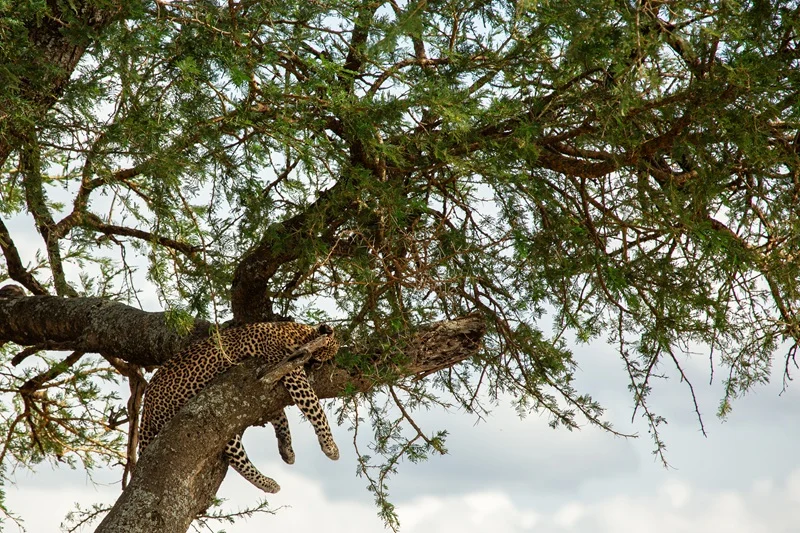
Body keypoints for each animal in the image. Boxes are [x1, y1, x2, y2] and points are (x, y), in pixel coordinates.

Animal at [139, 322, 340, 493]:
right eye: (321, 357)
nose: (316, 365)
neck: (295, 332)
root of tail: (146, 408)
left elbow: (280, 416)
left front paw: (287, 449)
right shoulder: (292, 370)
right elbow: (315, 408)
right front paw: (331, 447)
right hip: (211, 423)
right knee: (238, 459)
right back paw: (269, 484)